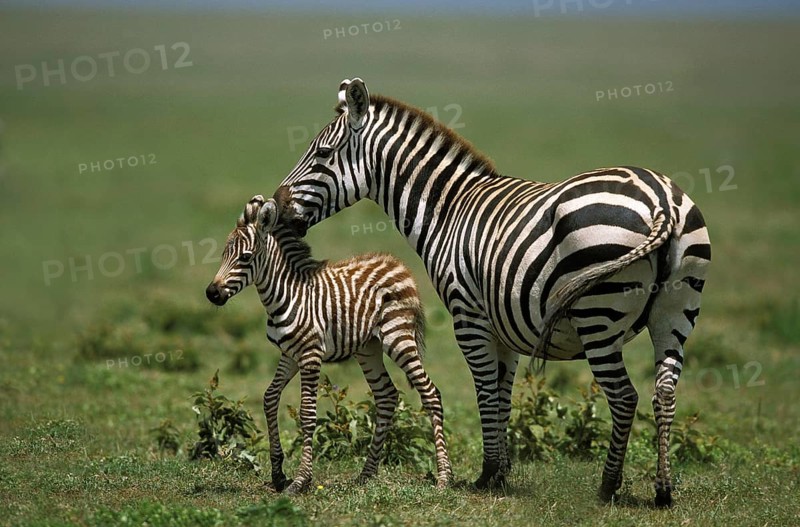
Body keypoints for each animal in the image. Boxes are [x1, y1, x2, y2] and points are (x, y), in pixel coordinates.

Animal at [205, 194, 452, 494]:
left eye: (245, 257)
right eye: (223, 255)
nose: (212, 293)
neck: (285, 295)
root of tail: (396, 263)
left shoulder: (311, 355)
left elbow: (307, 414)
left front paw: (300, 481)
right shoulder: (289, 355)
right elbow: (269, 398)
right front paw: (278, 473)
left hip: (398, 337)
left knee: (430, 393)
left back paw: (443, 477)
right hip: (368, 348)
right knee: (386, 395)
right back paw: (366, 474)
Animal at [268, 78, 711, 507]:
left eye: (323, 154)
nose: (276, 208)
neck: (448, 211)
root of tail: (661, 200)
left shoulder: (468, 315)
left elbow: (484, 391)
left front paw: (487, 473)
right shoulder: (506, 325)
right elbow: (502, 394)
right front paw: (502, 472)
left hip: (597, 317)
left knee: (624, 397)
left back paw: (608, 486)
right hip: (676, 312)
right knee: (664, 392)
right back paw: (663, 489)